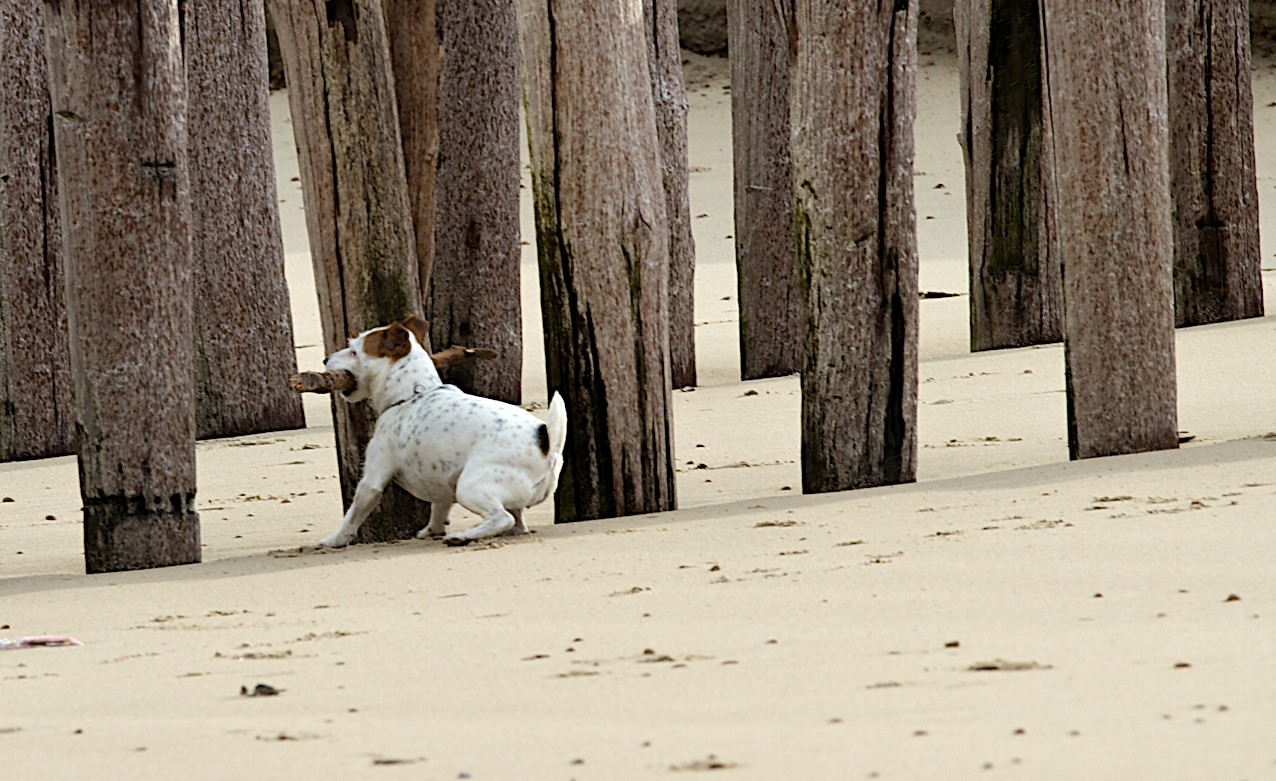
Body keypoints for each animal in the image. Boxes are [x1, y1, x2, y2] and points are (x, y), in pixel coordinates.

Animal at [316, 317, 566, 548]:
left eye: (354, 351)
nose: (325, 359)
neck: (411, 393)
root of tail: (547, 444)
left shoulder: (372, 480)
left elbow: (352, 516)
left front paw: (334, 540)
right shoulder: (443, 482)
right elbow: (439, 507)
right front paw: (432, 529)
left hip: (469, 487)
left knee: (501, 518)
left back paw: (462, 536)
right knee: (518, 522)